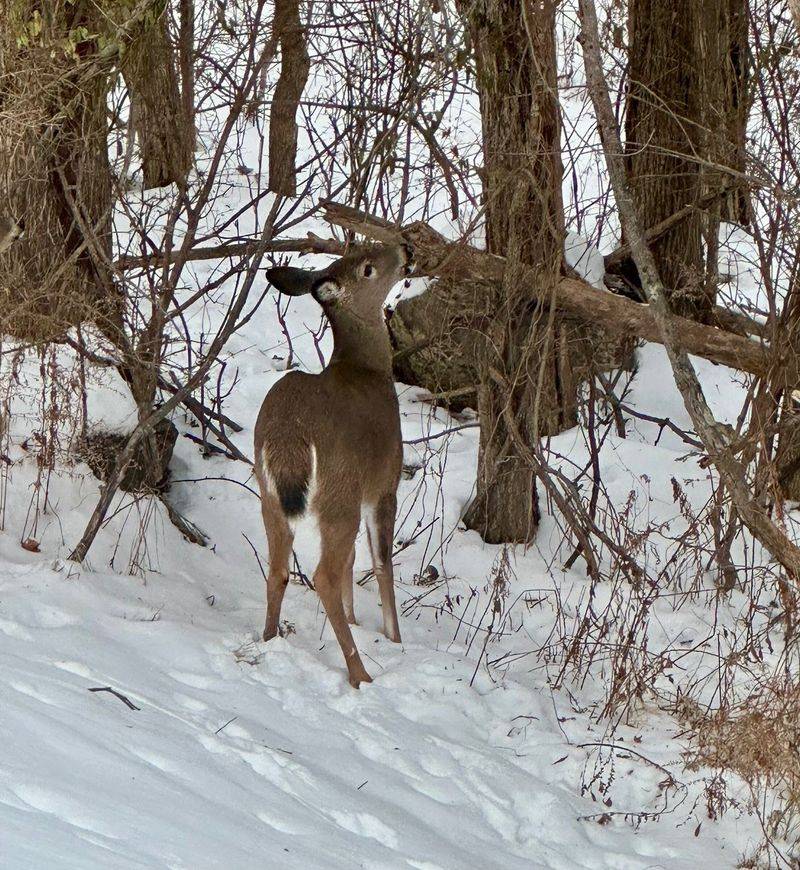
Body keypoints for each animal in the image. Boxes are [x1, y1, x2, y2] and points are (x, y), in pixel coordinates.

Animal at [254, 241, 414, 688]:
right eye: (369, 268)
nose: (406, 248)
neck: (368, 369)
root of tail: (287, 435)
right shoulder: (383, 483)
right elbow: (380, 561)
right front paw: (394, 638)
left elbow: (352, 562)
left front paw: (358, 619)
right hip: (339, 494)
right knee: (323, 575)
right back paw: (360, 674)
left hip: (269, 496)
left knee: (279, 569)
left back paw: (269, 640)